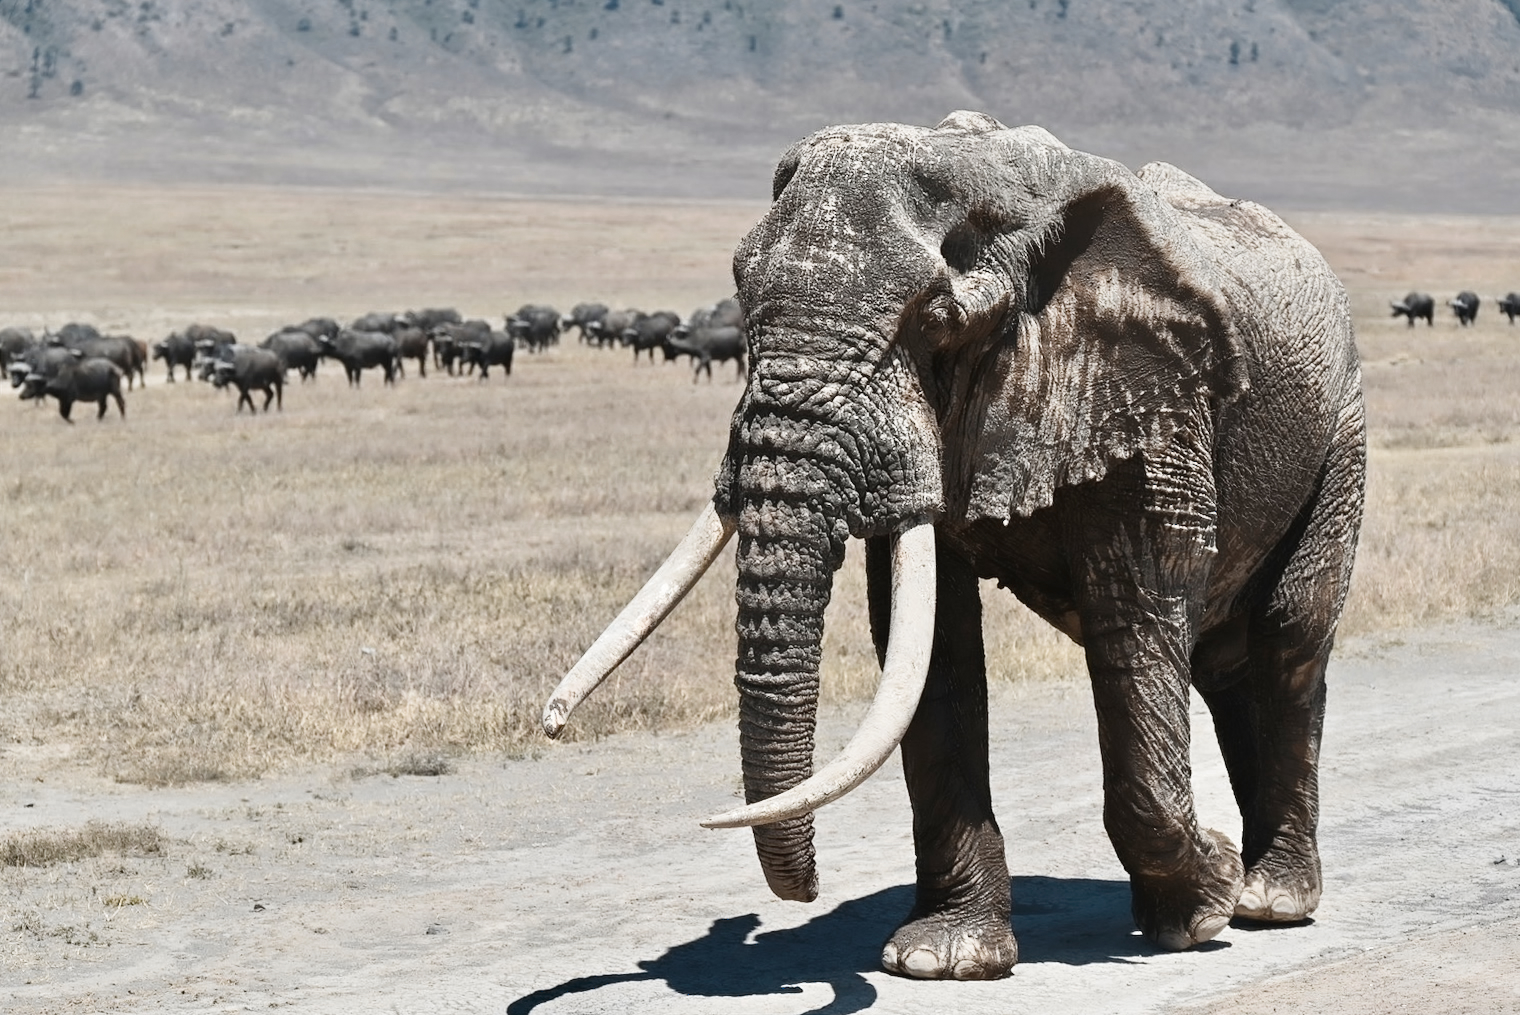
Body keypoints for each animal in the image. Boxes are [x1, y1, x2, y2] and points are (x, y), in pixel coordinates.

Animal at [542, 113, 1366, 982]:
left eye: (935, 319)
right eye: (740, 294)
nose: (804, 889)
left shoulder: (1147, 396)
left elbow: (1135, 615)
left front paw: (1205, 899)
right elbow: (931, 648)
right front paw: (942, 957)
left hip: (1341, 426)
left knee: (1287, 639)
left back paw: (1269, 899)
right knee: (1225, 661)